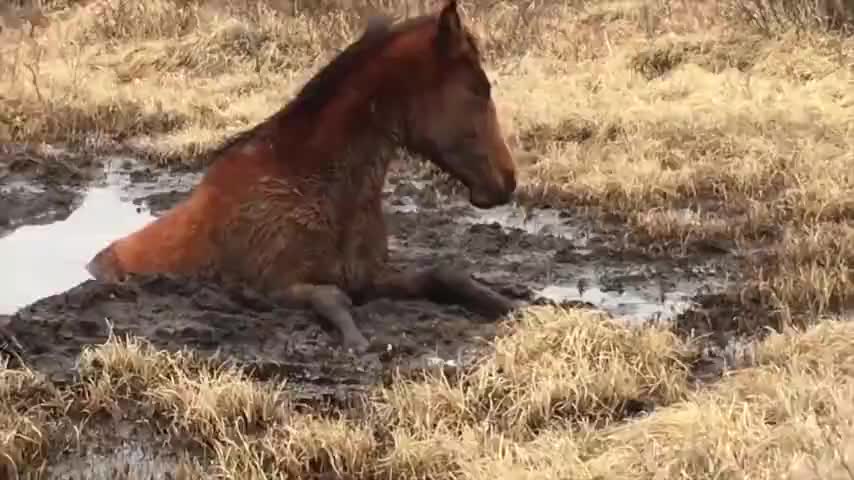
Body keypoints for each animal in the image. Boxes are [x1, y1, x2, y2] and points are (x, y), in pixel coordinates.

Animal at [83, 0, 520, 352]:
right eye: (479, 89)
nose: (507, 180)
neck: (316, 188)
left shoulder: (369, 277)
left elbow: (445, 276)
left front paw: (510, 304)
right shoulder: (272, 286)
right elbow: (330, 298)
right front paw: (356, 341)